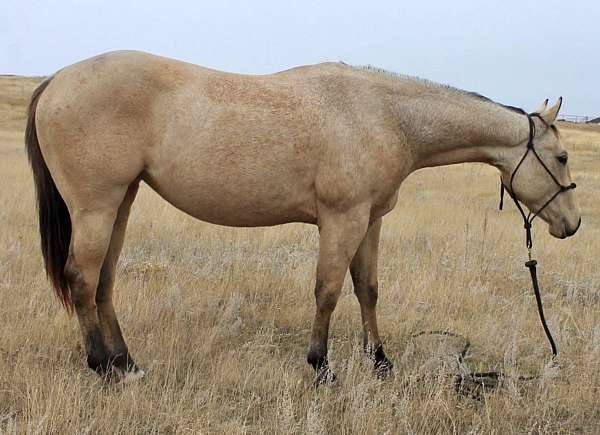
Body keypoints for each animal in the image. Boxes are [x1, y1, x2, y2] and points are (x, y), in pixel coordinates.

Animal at [24, 52, 580, 384]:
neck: (384, 116)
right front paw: (321, 367)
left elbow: (367, 289)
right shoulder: (342, 220)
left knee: (103, 282)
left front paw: (380, 361)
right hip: (97, 206)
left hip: (121, 203)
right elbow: (328, 290)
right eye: (562, 157)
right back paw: (102, 367)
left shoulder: (370, 221)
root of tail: (57, 80)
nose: (571, 224)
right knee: (82, 278)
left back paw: (127, 363)